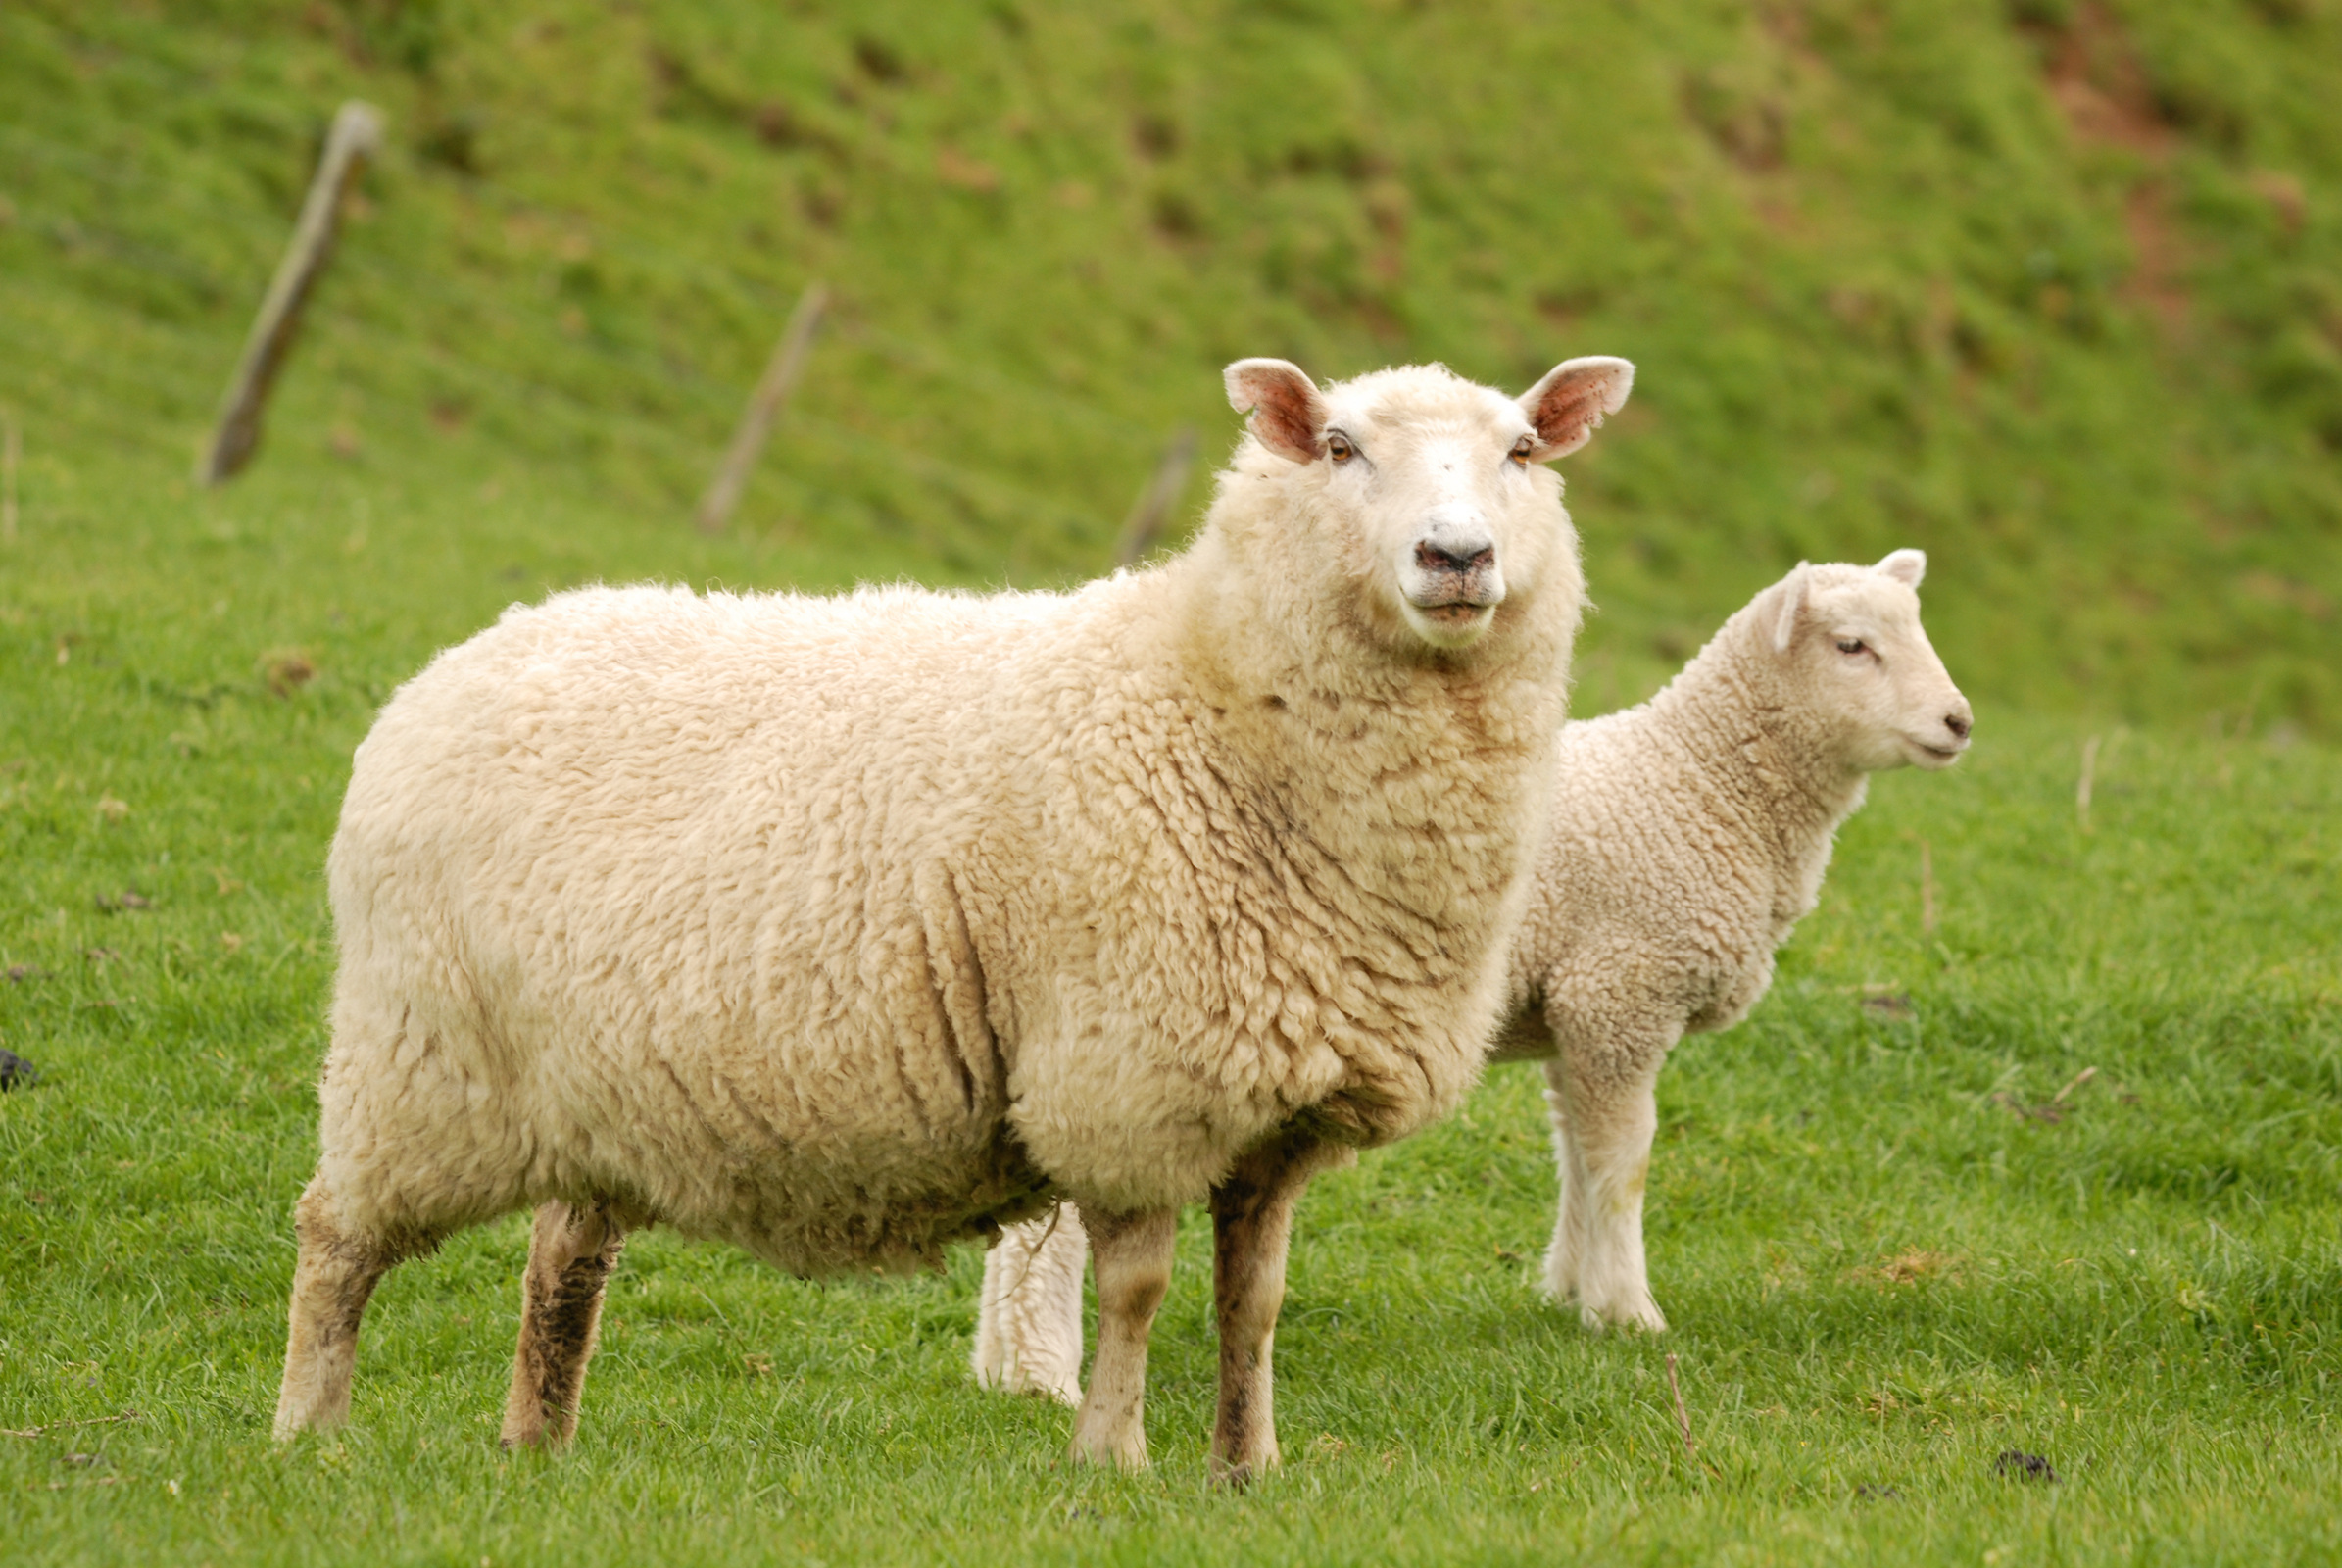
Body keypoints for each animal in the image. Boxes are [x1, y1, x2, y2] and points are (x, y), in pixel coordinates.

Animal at [268, 349, 1630, 1471]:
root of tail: (462, 658)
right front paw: (1112, 1461)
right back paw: (308, 1434)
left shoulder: (1275, 1111)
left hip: (587, 1088)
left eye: (1522, 449)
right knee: (335, 1237)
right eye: (1340, 446)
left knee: (562, 1261)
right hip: (416, 1059)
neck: (1207, 696)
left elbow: (1253, 1302)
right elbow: (1136, 1290)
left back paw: (533, 1442)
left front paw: (1248, 1467)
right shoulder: (1125, 1080)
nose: (1455, 558)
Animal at [979, 553, 1967, 1396]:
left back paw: (1003, 1371)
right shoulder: (1622, 991)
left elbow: (1577, 1155)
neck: (1700, 785)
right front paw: (1630, 1313)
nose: (1959, 722)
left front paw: (1572, 1293)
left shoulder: (1575, 1012)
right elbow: (1625, 1160)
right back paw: (1043, 1375)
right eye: (1853, 645)